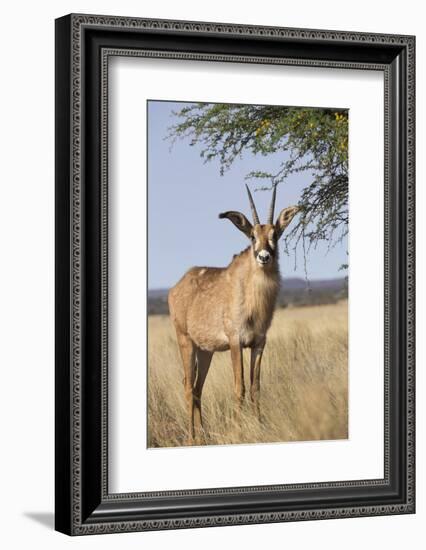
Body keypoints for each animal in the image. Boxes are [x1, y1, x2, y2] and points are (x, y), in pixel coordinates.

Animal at [167, 185, 300, 444]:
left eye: (275, 234)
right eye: (252, 236)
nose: (264, 257)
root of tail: (176, 287)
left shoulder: (259, 343)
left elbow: (256, 386)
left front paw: (260, 425)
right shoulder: (236, 342)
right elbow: (239, 388)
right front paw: (239, 430)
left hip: (205, 351)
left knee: (197, 388)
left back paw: (204, 435)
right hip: (185, 341)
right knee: (188, 387)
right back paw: (192, 438)